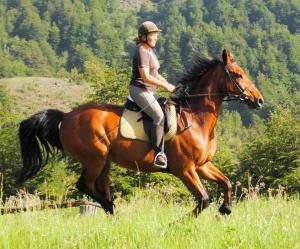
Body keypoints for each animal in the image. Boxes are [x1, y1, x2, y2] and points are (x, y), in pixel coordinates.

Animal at [18, 49, 264, 216]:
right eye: (237, 74)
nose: (259, 100)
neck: (195, 118)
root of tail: (66, 116)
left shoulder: (202, 165)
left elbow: (226, 183)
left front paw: (226, 209)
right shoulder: (185, 170)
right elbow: (203, 199)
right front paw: (176, 224)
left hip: (104, 162)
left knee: (100, 188)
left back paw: (112, 212)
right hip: (94, 159)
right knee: (84, 185)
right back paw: (110, 208)